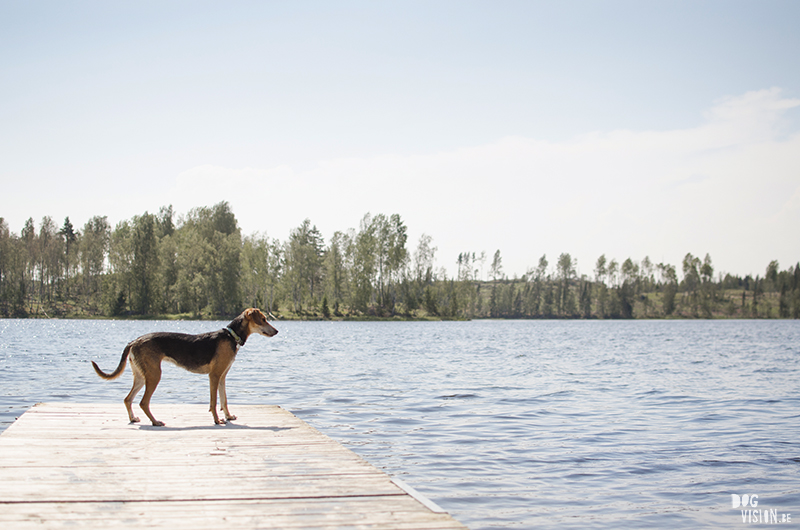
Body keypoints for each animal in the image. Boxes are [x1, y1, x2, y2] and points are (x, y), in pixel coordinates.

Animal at [90, 306, 276, 424]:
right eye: (263, 319)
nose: (277, 331)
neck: (231, 336)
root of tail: (134, 341)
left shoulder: (222, 377)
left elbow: (224, 400)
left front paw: (228, 417)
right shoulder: (214, 376)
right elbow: (214, 402)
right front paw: (217, 420)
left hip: (142, 376)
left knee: (128, 399)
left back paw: (133, 419)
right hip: (154, 375)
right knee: (143, 402)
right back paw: (155, 422)